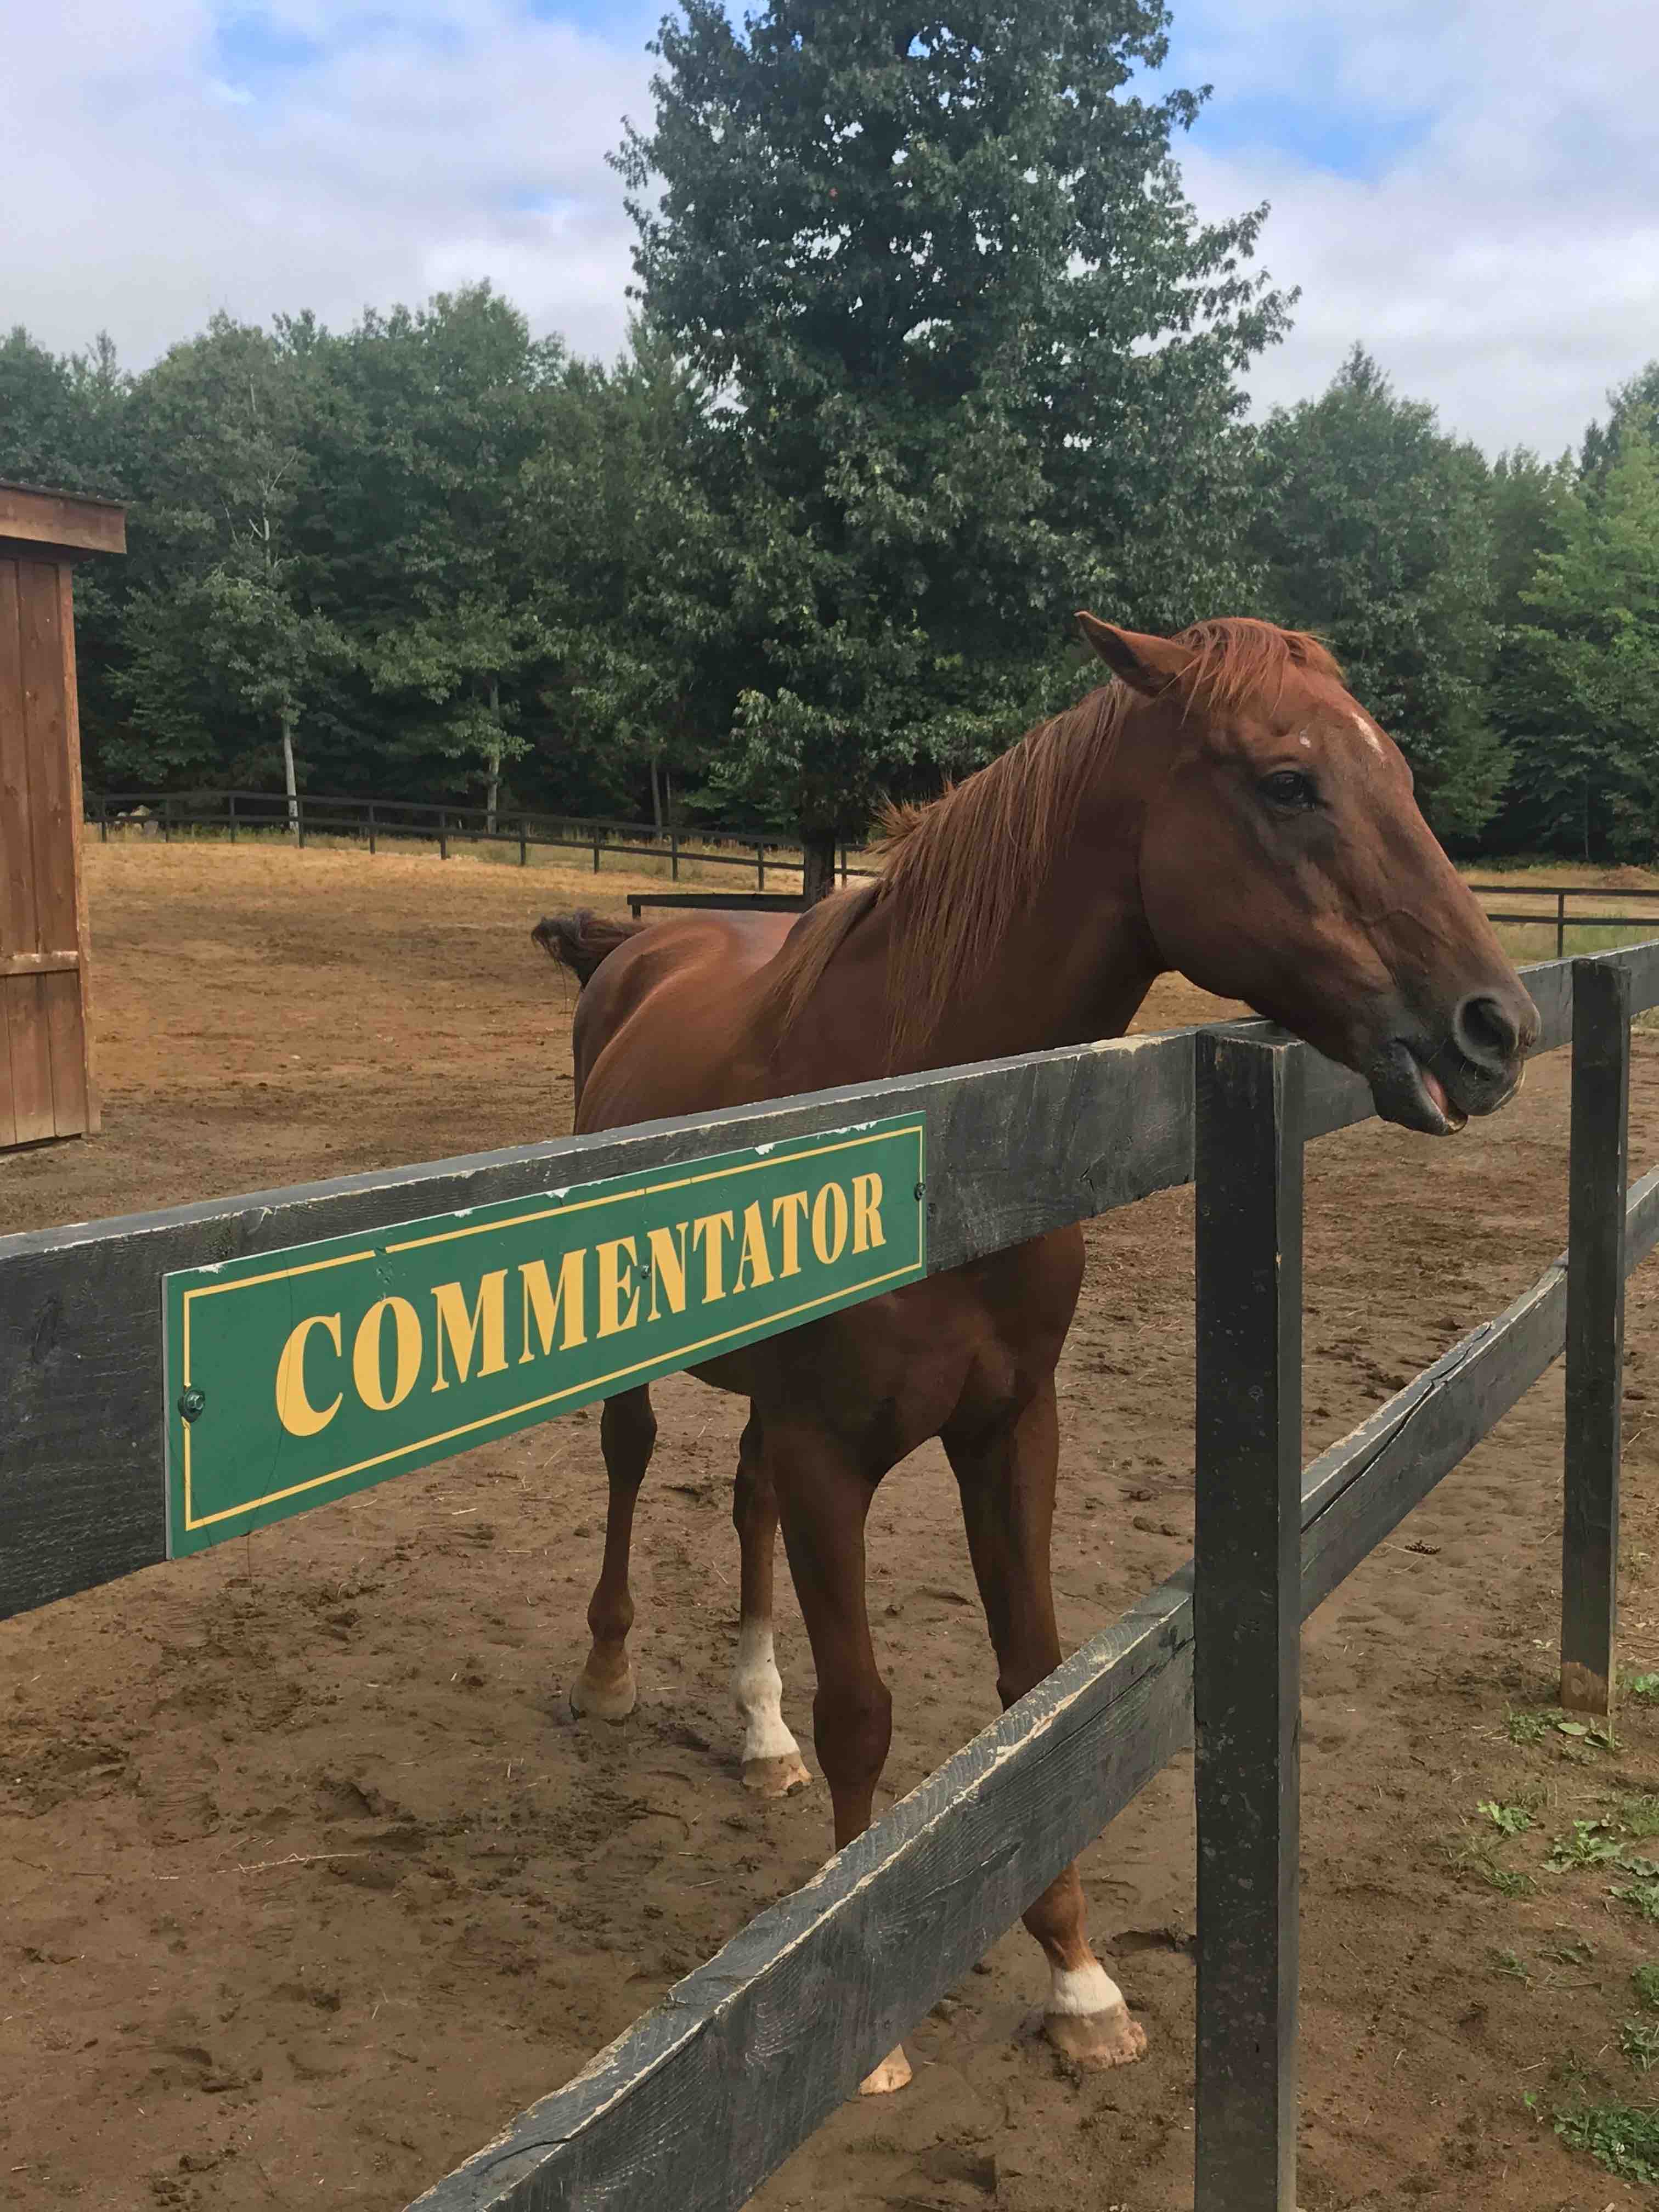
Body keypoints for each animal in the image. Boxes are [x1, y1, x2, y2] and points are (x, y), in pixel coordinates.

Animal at [533, 619, 1531, 2088]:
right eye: (1289, 783)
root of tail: (634, 954)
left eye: (1398, 772)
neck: (945, 1132)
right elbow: (866, 1705)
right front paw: (867, 2023)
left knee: (743, 1499)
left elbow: (1033, 1696)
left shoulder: (1011, 1430)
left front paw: (1080, 1979)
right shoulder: (836, 1457)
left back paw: (758, 1731)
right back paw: (609, 1674)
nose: (1497, 1027)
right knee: (630, 1454)